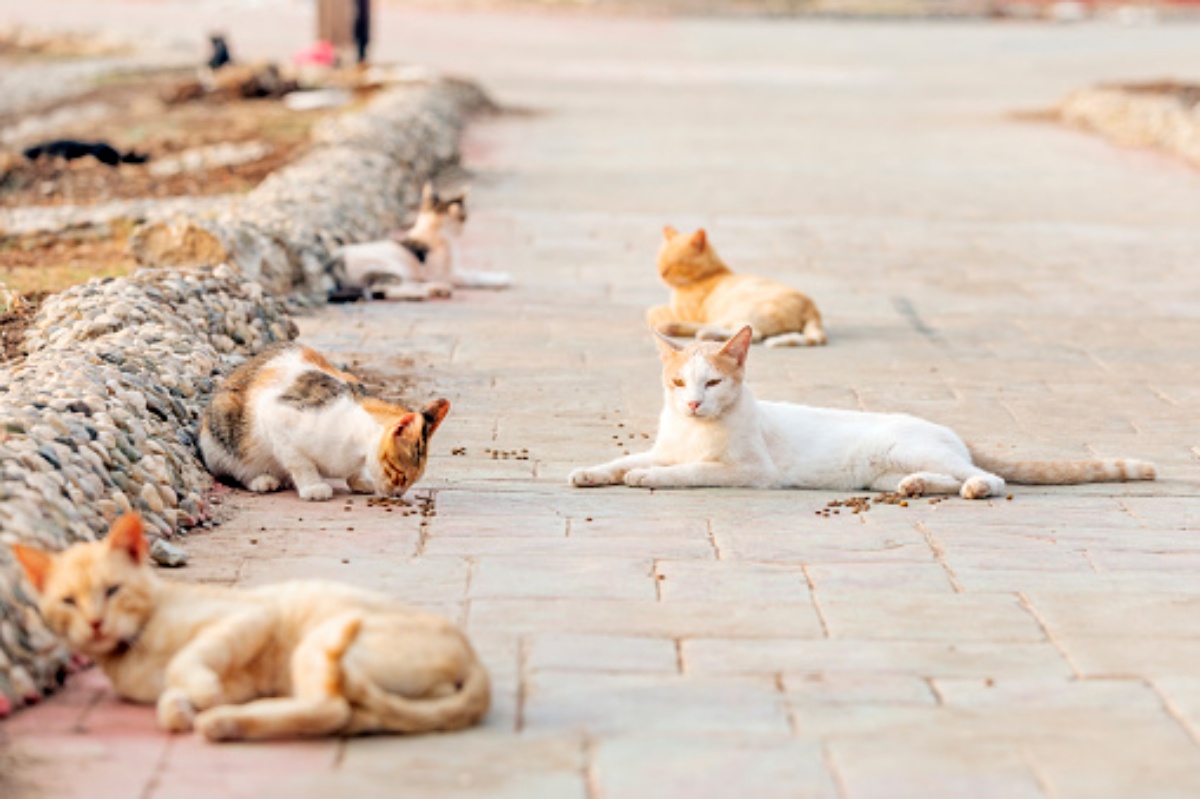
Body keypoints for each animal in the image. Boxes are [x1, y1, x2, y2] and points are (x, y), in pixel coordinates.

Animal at [9, 511, 487, 739]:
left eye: (112, 591)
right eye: (68, 602)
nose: (95, 623)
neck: (134, 649)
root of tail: (474, 658)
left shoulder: (252, 615)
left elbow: (187, 661)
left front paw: (199, 694)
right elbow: (171, 699)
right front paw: (180, 710)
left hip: (319, 639)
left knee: (331, 709)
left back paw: (226, 719)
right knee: (346, 713)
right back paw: (228, 721)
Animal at [199, 340, 448, 499]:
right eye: (401, 476)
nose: (398, 495)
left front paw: (359, 480)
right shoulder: (276, 417)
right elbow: (300, 461)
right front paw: (313, 487)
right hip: (221, 426)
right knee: (234, 470)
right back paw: (263, 480)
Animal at [328, 183, 511, 302]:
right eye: (464, 217)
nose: (463, 227)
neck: (432, 228)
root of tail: (333, 263)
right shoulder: (450, 273)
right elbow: (475, 275)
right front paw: (503, 279)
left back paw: (437, 289)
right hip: (389, 267)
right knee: (380, 289)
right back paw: (424, 292)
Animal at [571, 326, 1161, 499]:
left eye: (713, 382)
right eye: (677, 383)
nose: (693, 402)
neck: (694, 430)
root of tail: (947, 429)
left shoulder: (751, 472)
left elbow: (686, 472)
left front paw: (650, 478)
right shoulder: (665, 444)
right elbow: (622, 461)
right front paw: (591, 472)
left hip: (909, 446)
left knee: (986, 476)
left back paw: (973, 487)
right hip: (882, 471)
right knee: (943, 478)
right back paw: (918, 487)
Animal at [648, 225, 825, 347]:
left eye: (677, 263)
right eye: (660, 259)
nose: (661, 273)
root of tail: (812, 307)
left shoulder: (684, 312)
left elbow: (652, 310)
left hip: (746, 310)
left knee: (753, 333)